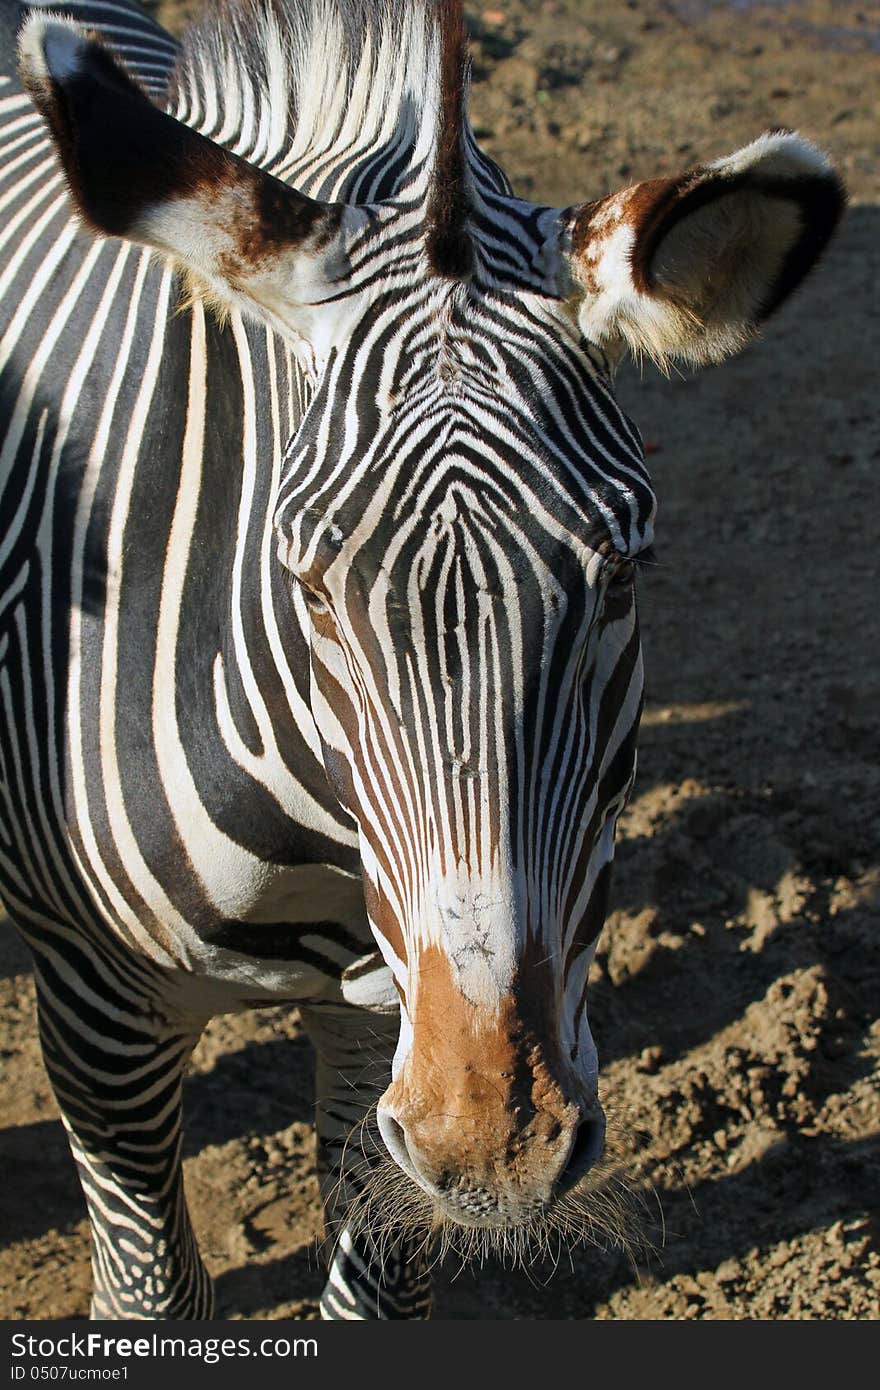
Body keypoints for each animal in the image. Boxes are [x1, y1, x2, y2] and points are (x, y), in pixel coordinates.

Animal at [0, 0, 839, 1323]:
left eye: (622, 577)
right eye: (305, 588)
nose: (492, 1142)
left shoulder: (380, 1017)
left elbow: (377, 1298)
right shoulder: (94, 1012)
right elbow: (152, 1299)